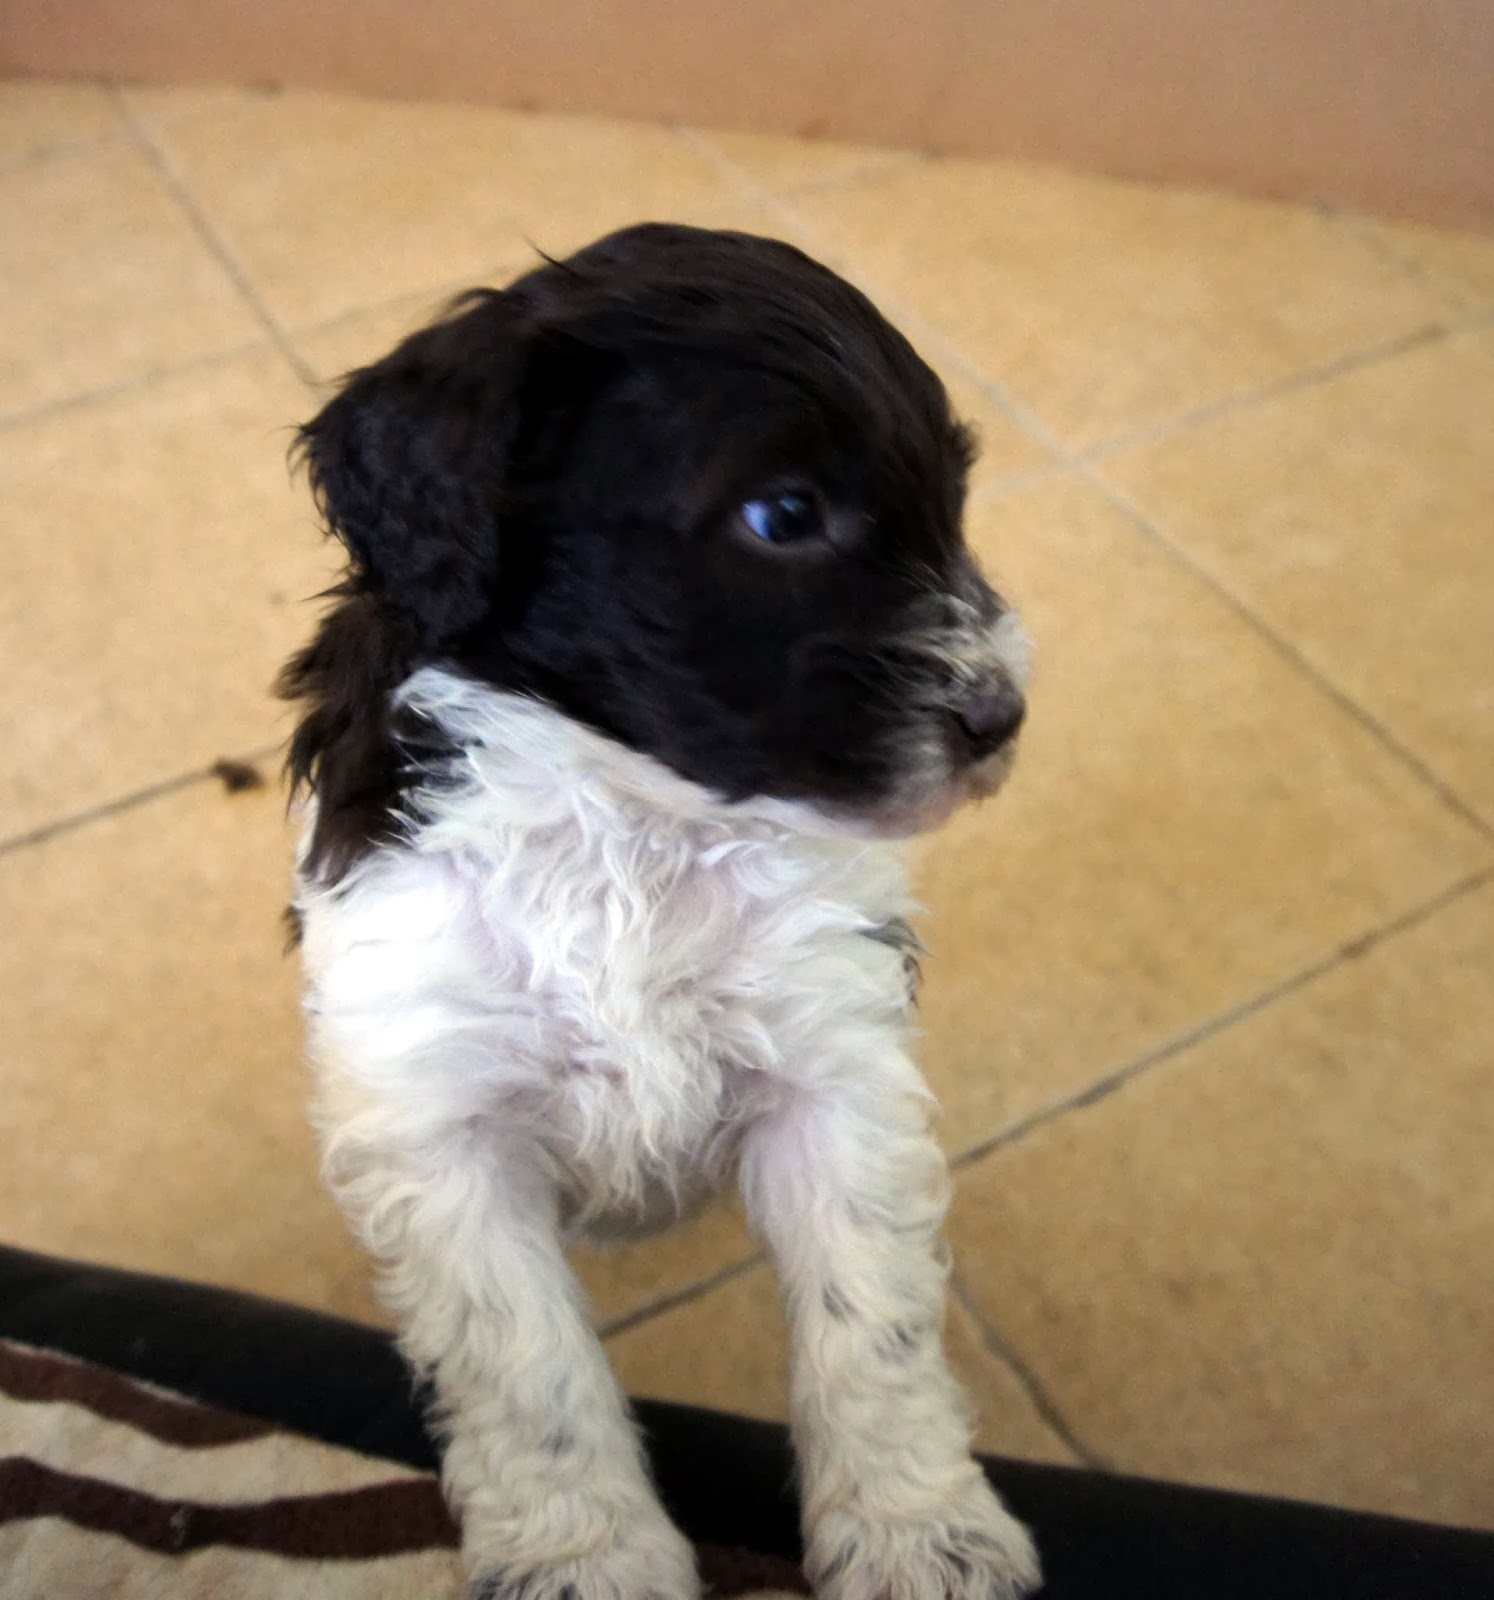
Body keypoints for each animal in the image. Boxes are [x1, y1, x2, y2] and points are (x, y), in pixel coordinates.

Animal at [279, 222, 1039, 1600]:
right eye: (783, 515)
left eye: (952, 496)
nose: (1001, 714)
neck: (632, 819)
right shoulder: (440, 1109)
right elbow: (528, 1367)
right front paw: (584, 1554)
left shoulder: (832, 1068)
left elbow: (873, 1318)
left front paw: (920, 1530)